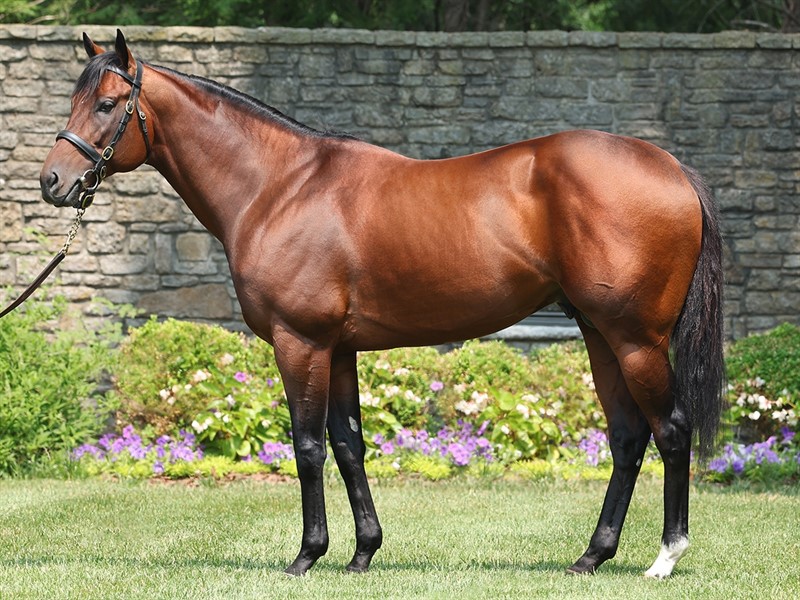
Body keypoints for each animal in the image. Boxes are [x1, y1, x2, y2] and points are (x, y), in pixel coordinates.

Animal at [40, 30, 724, 579]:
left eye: (106, 104)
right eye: (73, 100)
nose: (52, 182)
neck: (279, 187)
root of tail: (673, 169)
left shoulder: (301, 342)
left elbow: (307, 446)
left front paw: (306, 556)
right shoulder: (339, 350)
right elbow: (349, 446)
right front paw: (362, 552)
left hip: (636, 339)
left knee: (671, 430)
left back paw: (665, 558)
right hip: (599, 334)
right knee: (628, 437)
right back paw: (591, 556)